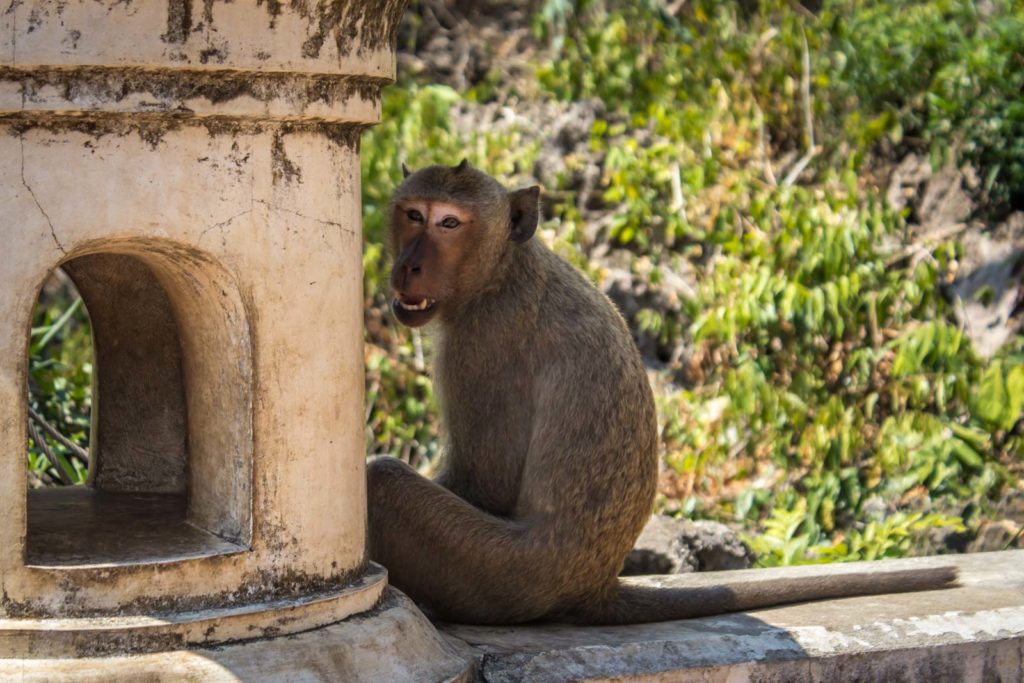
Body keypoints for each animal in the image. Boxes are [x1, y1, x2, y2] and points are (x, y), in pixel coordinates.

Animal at [368, 160, 958, 626]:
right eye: (413, 214)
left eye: (449, 222)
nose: (409, 264)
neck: (501, 270)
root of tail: (593, 584)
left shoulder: (482, 346)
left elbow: (484, 481)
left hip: (505, 574)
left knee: (388, 485)